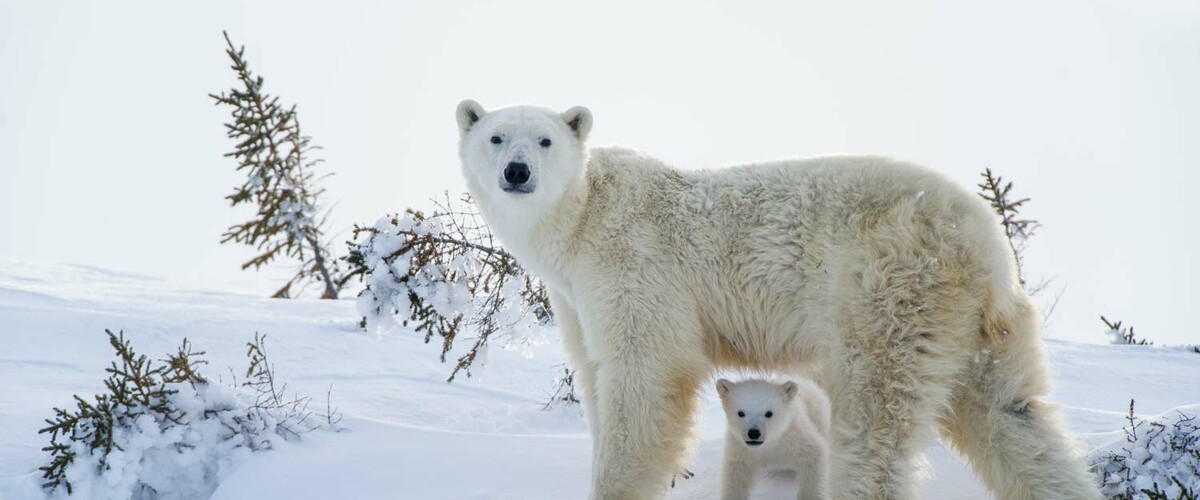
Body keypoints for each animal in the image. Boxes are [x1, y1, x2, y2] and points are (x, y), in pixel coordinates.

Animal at [453, 98, 1099, 498]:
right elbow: (592, 369)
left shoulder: (634, 262)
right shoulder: (573, 294)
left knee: (874, 414)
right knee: (1011, 414)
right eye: (494, 136)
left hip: (887, 284)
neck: (583, 216)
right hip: (977, 320)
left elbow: (646, 371)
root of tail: (982, 236)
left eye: (544, 139)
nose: (517, 171)